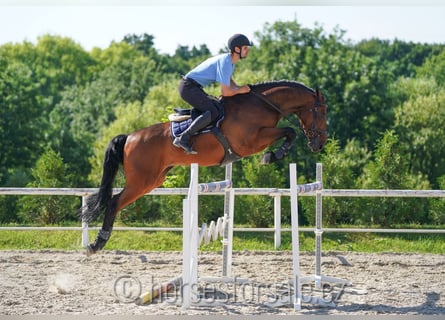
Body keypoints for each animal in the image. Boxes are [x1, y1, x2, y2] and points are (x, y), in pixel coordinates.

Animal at [82, 81, 326, 256]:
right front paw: (272, 156)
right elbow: (289, 132)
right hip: (141, 181)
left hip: (153, 181)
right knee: (114, 203)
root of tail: (129, 137)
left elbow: (289, 132)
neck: (262, 104)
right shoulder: (251, 142)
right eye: (321, 113)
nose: (320, 144)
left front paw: (275, 155)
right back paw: (97, 243)